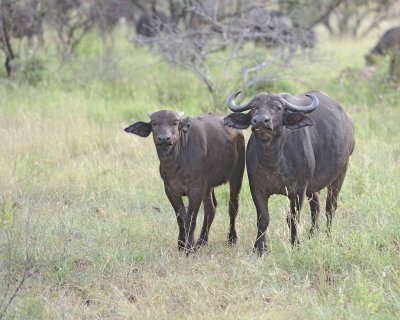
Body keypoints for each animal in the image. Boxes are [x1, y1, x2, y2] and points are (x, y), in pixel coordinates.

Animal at [125, 111, 245, 254]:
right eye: (154, 123)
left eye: (175, 123)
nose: (164, 139)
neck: (176, 162)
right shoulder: (170, 190)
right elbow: (180, 217)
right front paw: (181, 244)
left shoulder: (196, 190)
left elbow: (190, 218)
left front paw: (189, 247)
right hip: (208, 186)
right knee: (211, 208)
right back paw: (202, 241)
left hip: (237, 175)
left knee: (233, 206)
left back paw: (232, 238)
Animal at [223, 90, 354, 255]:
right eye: (253, 107)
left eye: (278, 108)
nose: (260, 121)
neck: (274, 161)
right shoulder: (257, 188)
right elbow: (263, 218)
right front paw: (259, 248)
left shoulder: (299, 189)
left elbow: (293, 217)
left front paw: (295, 243)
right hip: (313, 187)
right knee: (316, 206)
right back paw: (313, 234)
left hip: (341, 172)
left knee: (330, 207)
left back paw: (327, 235)